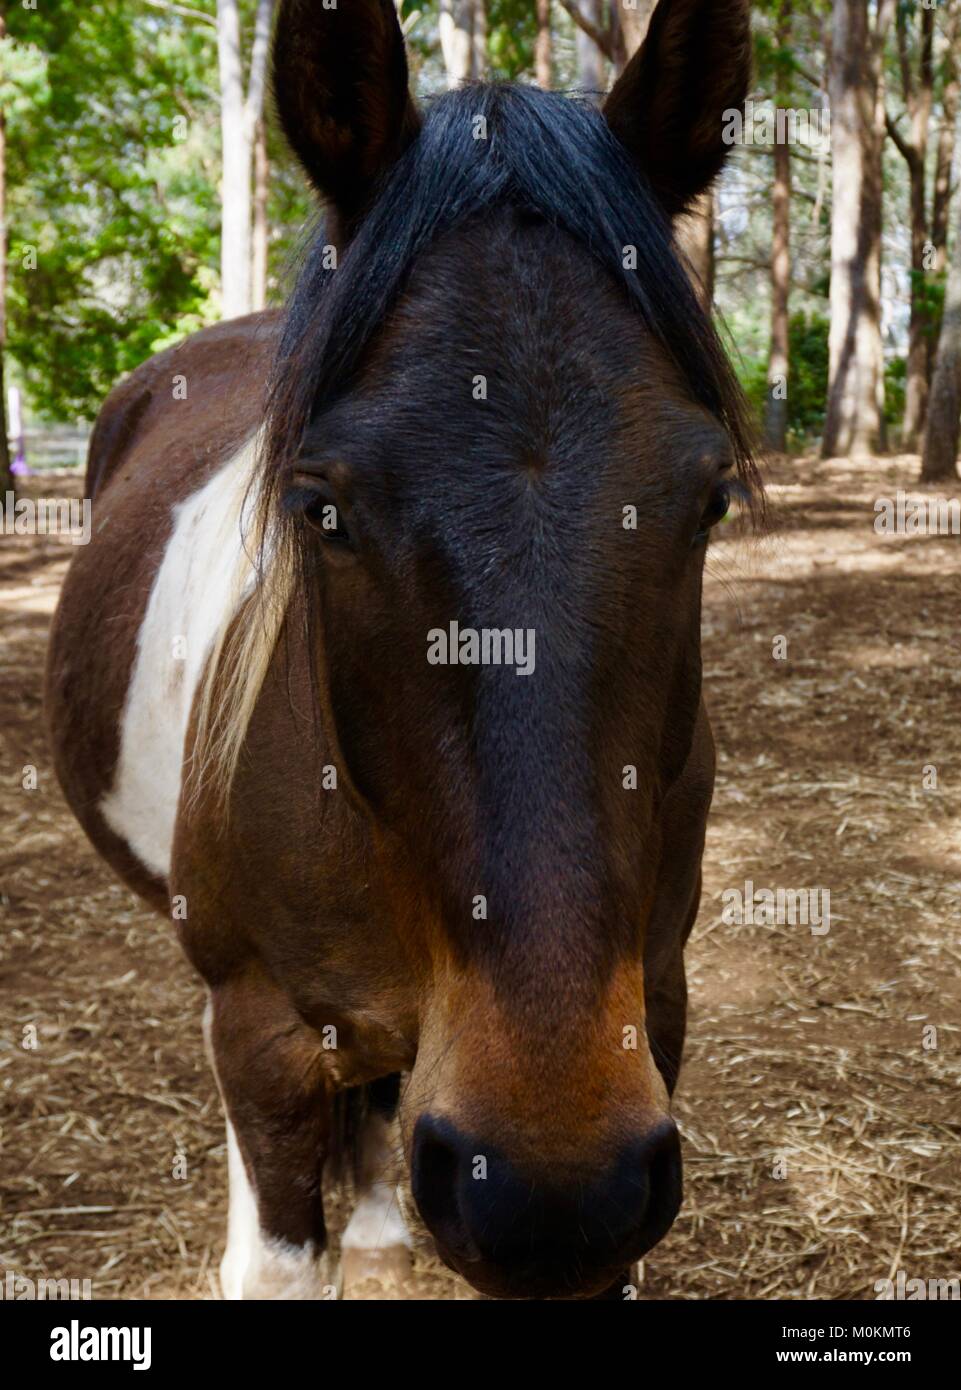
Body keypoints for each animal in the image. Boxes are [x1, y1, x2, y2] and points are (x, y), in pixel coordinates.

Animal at [46, 0, 759, 1300]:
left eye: (709, 501)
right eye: (320, 505)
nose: (549, 1188)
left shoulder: (656, 1012)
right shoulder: (262, 1037)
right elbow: (282, 1239)